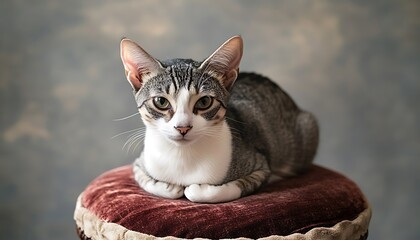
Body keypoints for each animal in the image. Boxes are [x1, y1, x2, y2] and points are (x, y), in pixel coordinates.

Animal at [118, 35, 318, 202]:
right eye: (161, 101)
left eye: (204, 101)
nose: (183, 128)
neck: (183, 157)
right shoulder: (138, 164)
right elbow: (152, 183)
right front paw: (171, 187)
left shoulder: (261, 166)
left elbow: (221, 189)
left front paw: (195, 189)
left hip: (308, 125)